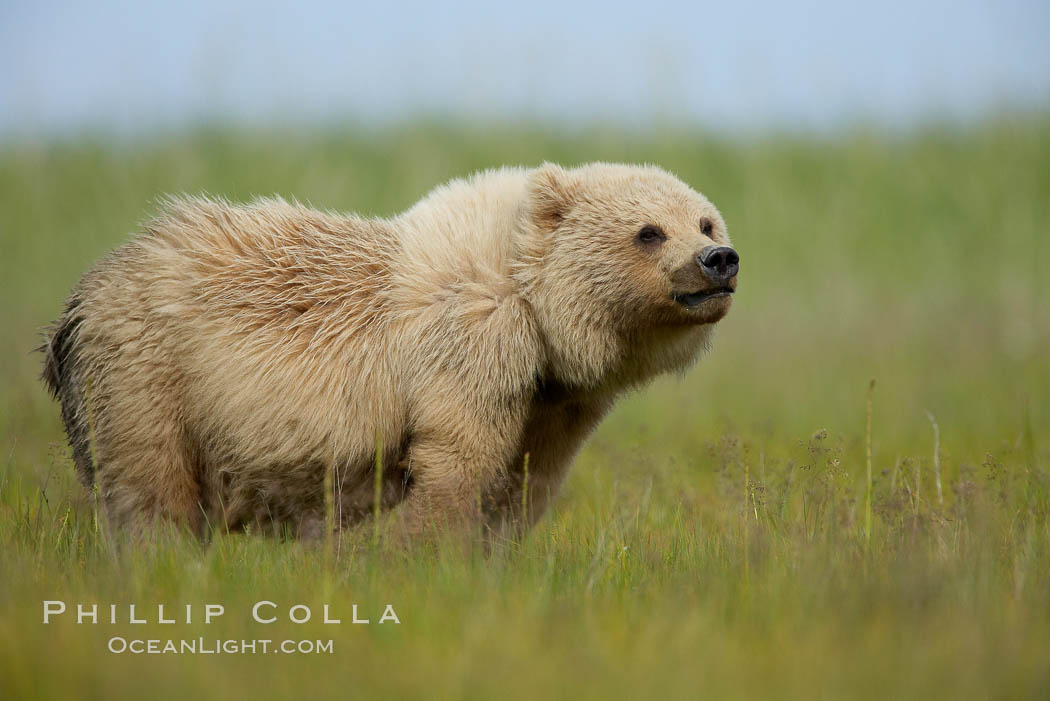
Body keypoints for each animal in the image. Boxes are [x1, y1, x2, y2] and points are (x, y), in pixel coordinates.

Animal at [43, 164, 739, 541]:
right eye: (649, 232)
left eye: (705, 221)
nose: (719, 259)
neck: (535, 305)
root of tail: (76, 303)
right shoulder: (468, 350)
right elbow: (457, 466)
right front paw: (424, 558)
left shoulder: (554, 400)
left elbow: (524, 483)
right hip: (147, 372)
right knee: (149, 489)